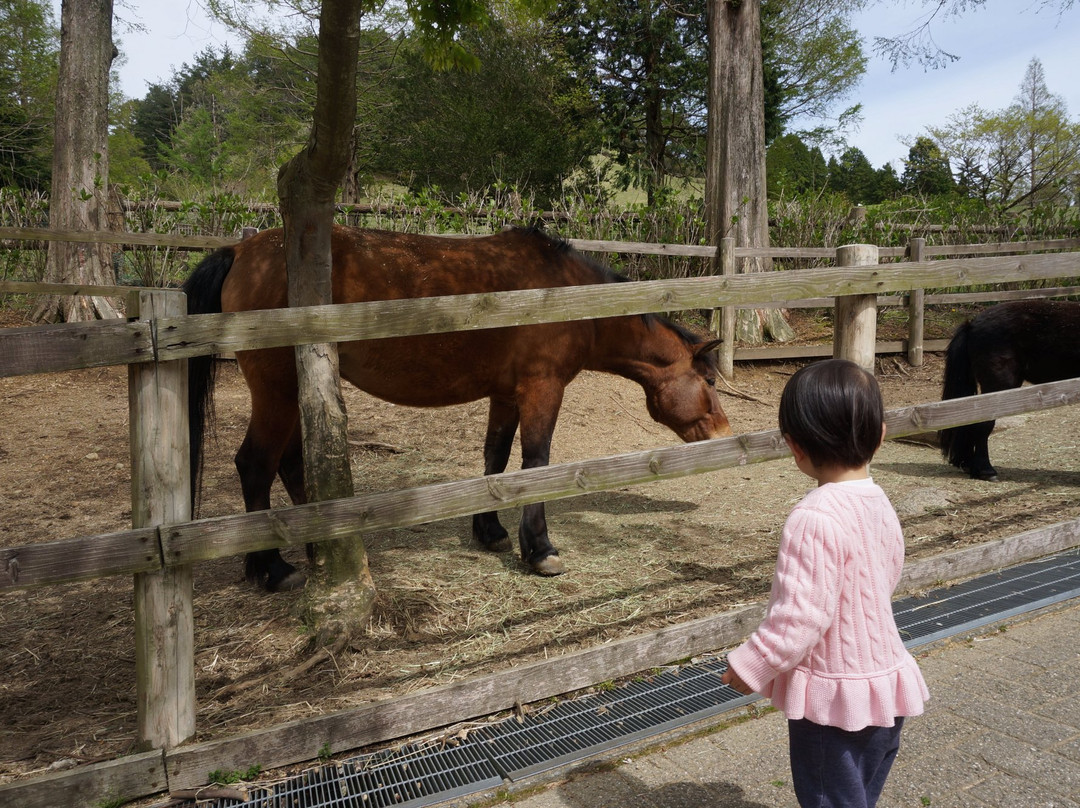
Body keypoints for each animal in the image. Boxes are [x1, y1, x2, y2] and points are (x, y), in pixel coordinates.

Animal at [183, 223, 734, 591]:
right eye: (708, 380)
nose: (725, 435)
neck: (566, 294)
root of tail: (241, 250)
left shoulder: (506, 393)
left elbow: (497, 460)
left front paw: (490, 531)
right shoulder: (541, 388)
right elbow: (536, 463)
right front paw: (540, 550)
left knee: (292, 463)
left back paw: (320, 551)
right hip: (276, 392)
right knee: (255, 464)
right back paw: (272, 568)